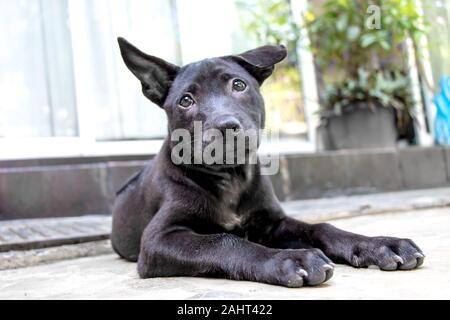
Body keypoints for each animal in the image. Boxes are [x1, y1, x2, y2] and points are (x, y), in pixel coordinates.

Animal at [110, 37, 424, 288]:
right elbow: (223, 240)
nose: (226, 126)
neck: (230, 177)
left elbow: (321, 228)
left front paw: (380, 245)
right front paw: (290, 260)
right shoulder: (159, 239)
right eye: (185, 101)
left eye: (238, 85)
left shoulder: (273, 223)